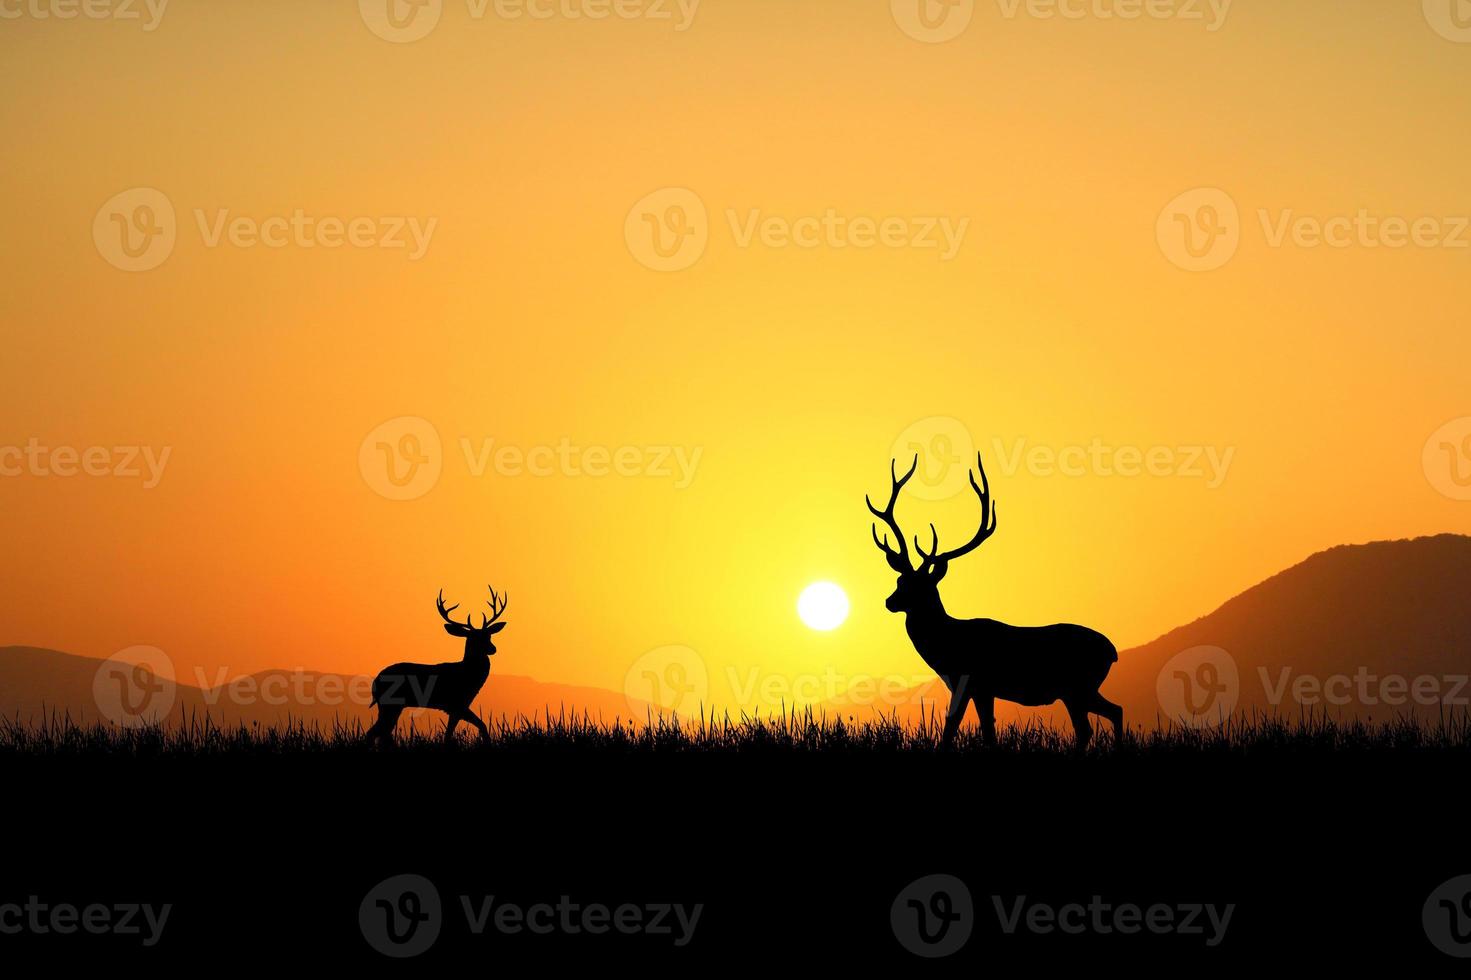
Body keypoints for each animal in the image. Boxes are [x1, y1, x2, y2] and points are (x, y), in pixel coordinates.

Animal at [364, 588, 508, 741]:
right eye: (474, 638)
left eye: (489, 635)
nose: (493, 649)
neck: (466, 672)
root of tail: (375, 683)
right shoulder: (456, 703)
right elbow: (481, 725)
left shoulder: (457, 707)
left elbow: (451, 732)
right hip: (390, 704)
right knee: (375, 732)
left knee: (381, 732)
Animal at [864, 453, 1117, 747]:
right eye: (900, 581)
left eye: (921, 587)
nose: (890, 601)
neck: (946, 645)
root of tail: (1112, 652)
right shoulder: (978, 688)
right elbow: (983, 728)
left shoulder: (973, 681)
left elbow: (960, 727)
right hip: (1080, 689)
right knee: (1112, 712)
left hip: (1076, 686)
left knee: (1092, 724)